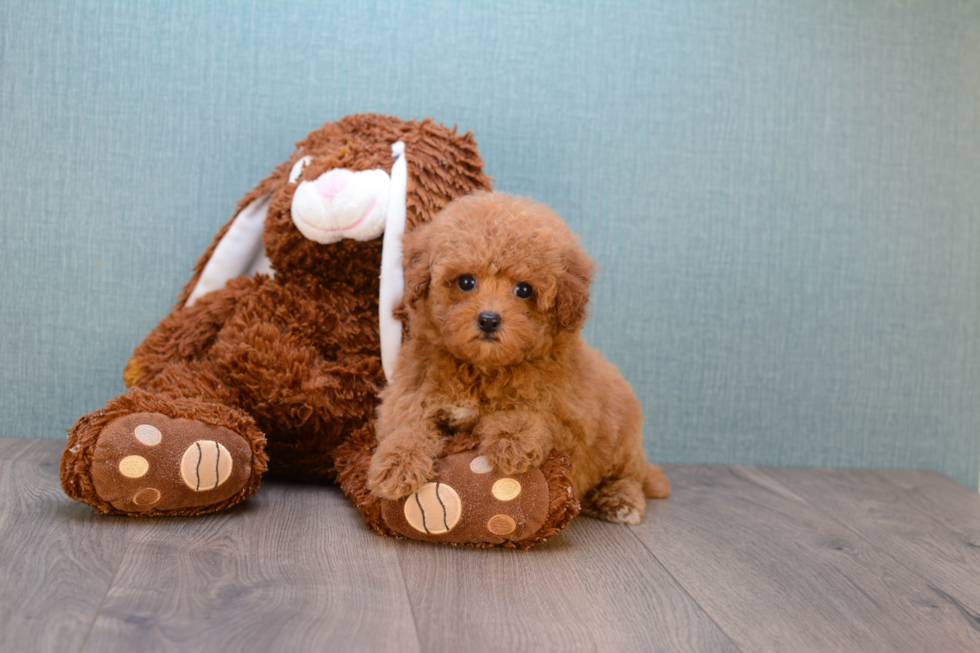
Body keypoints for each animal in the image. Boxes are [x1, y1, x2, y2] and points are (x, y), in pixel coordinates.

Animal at [366, 191, 668, 524]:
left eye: (524, 289)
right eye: (466, 282)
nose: (489, 320)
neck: (481, 368)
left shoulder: (571, 418)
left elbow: (535, 413)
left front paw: (512, 440)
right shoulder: (409, 394)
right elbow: (407, 427)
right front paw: (397, 464)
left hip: (621, 442)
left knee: (630, 477)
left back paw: (621, 501)